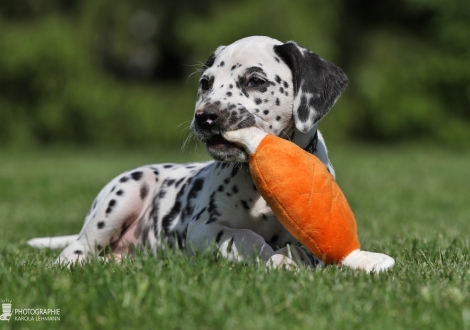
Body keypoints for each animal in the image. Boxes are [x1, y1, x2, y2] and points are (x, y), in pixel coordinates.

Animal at [26, 35, 392, 270]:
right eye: (206, 83)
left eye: (255, 81)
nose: (205, 117)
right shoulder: (203, 228)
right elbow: (244, 236)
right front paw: (272, 257)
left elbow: (306, 250)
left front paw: (295, 259)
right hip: (121, 197)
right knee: (75, 251)